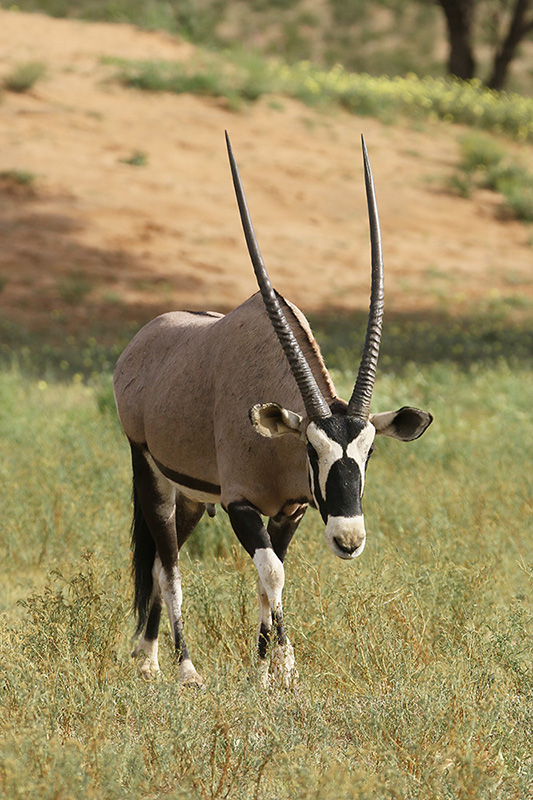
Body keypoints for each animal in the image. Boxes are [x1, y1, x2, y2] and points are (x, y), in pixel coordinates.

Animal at [113, 133, 432, 688]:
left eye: (369, 452)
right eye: (311, 448)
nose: (349, 539)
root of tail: (142, 343)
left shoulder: (290, 512)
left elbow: (270, 577)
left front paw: (262, 675)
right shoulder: (241, 504)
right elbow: (272, 573)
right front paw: (286, 671)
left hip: (192, 496)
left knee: (156, 563)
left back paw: (148, 657)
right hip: (150, 473)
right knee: (168, 563)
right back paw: (182, 669)